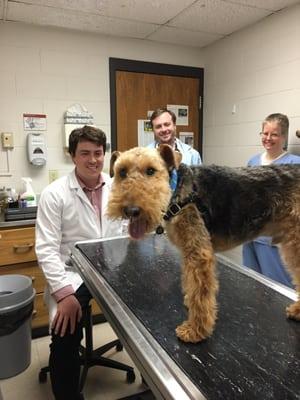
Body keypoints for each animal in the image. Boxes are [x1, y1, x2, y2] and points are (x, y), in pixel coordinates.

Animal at [108, 145, 300, 342]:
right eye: (121, 172)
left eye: (151, 171)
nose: (131, 210)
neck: (176, 191)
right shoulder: (189, 251)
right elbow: (191, 285)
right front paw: (188, 301)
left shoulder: (199, 254)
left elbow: (200, 293)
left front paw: (195, 330)